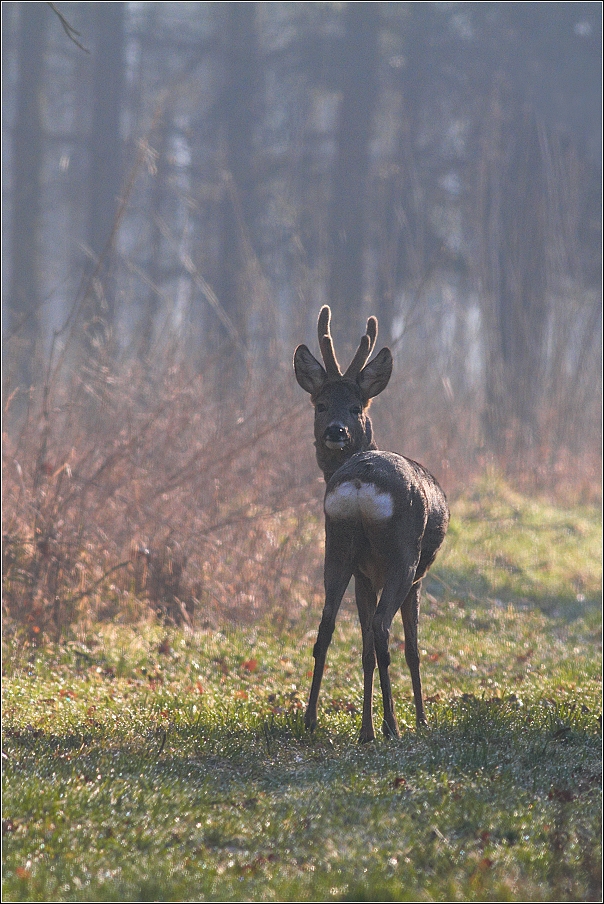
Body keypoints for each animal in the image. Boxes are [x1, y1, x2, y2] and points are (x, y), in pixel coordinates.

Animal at [292, 308, 448, 744]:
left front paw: (366, 726)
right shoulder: (417, 577)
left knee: (327, 624)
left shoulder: (363, 575)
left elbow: (362, 652)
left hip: (337, 545)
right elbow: (413, 648)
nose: (336, 430)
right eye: (321, 404)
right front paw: (421, 719)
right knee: (382, 630)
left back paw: (313, 719)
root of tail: (360, 485)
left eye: (356, 406)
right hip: (402, 555)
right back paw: (393, 725)